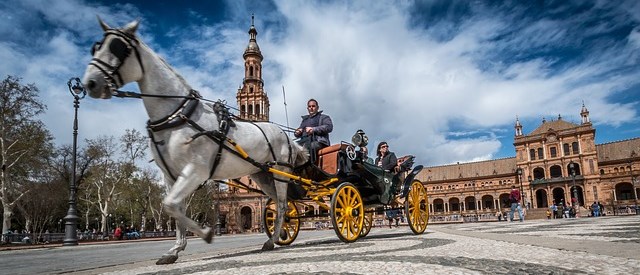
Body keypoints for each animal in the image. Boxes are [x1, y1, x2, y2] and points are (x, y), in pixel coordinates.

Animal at [82, 18, 308, 266]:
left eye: (118, 48)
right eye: (96, 47)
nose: (90, 83)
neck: (177, 115)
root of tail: (286, 136)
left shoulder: (196, 170)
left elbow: (171, 205)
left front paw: (205, 233)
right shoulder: (171, 176)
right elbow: (174, 208)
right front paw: (175, 249)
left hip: (280, 172)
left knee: (282, 204)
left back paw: (272, 240)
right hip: (263, 175)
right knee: (279, 204)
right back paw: (280, 234)